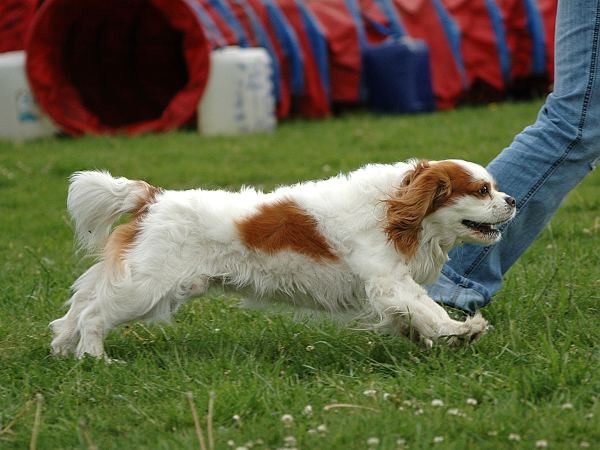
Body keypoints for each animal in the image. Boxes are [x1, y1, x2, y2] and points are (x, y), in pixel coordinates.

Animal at [50, 159, 516, 358]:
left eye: (495, 187)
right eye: (482, 191)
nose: (512, 200)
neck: (391, 207)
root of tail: (153, 198)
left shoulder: (388, 289)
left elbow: (411, 317)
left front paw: (428, 338)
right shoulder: (388, 281)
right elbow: (427, 307)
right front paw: (462, 330)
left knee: (76, 310)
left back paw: (62, 351)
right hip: (146, 289)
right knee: (93, 316)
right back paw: (96, 358)